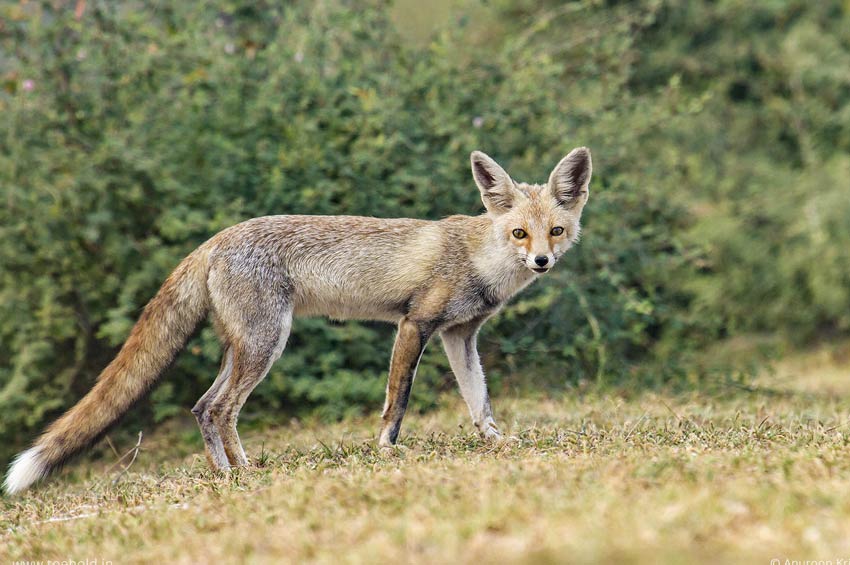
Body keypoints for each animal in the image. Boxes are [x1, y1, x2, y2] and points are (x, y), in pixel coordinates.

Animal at [3, 147, 592, 494]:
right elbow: (396, 403)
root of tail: (215, 239)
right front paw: (386, 453)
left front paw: (497, 444)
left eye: (556, 231)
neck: (478, 259)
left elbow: (479, 402)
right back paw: (236, 476)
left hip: (244, 347)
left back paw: (229, 471)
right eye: (519, 233)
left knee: (202, 406)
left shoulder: (459, 336)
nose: (542, 261)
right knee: (219, 409)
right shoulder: (414, 324)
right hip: (268, 344)